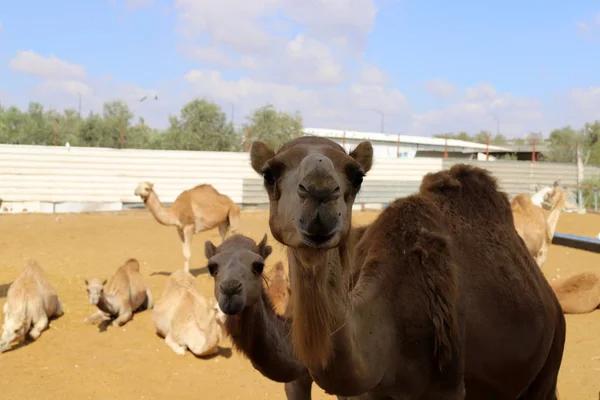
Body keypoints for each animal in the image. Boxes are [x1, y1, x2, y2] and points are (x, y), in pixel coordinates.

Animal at [250, 135, 568, 400]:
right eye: (269, 174)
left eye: (357, 176)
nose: (320, 191)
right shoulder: (362, 393)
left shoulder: (448, 387)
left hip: (549, 365)